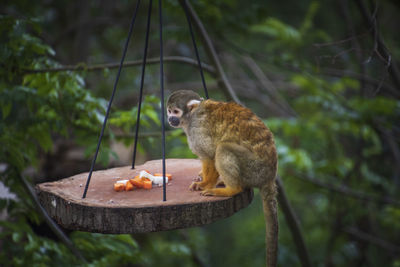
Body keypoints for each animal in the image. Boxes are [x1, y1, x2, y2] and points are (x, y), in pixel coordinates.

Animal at [166, 90, 278, 267]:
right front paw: (201, 176)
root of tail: (270, 175)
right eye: (169, 111)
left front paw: (204, 184)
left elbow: (210, 154)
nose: (170, 119)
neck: (191, 117)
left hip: (255, 169)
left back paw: (231, 189)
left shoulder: (198, 129)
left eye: (176, 112)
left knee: (223, 148)